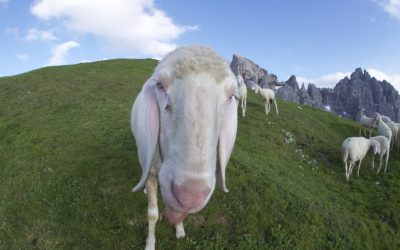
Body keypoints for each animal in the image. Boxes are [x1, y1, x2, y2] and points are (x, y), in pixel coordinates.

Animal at [130, 45, 238, 250]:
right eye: (160, 86)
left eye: (231, 96)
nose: (190, 196)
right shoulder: (153, 170)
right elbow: (152, 215)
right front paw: (150, 243)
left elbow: (182, 215)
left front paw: (179, 229)